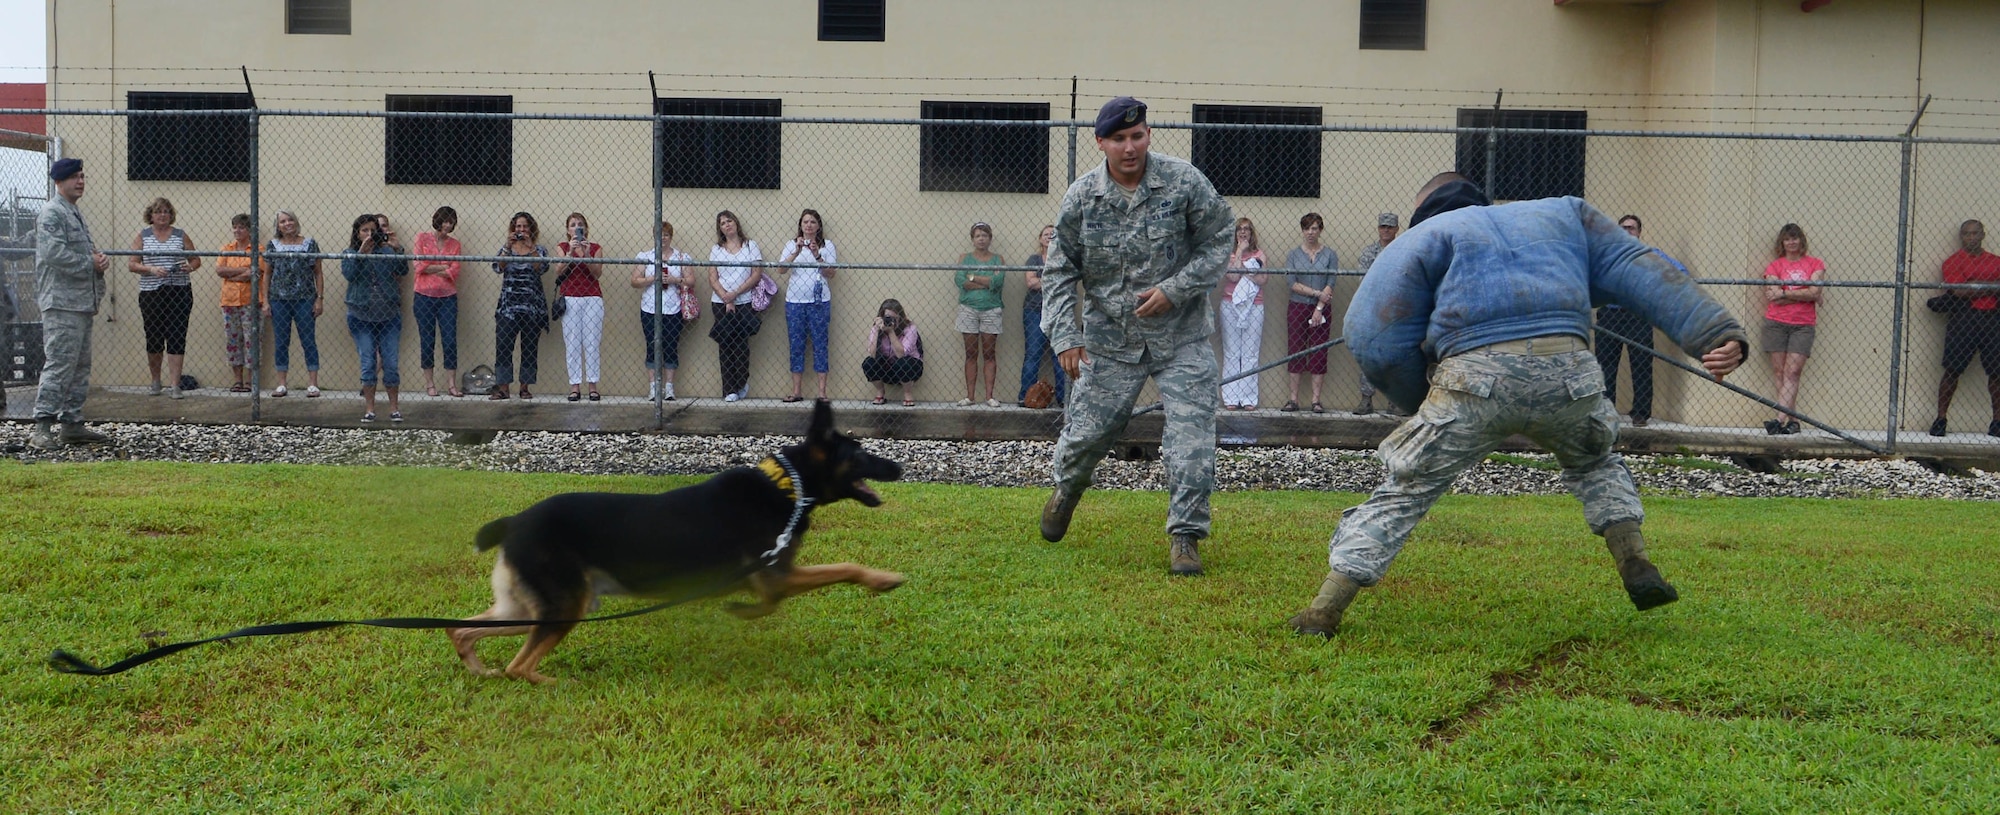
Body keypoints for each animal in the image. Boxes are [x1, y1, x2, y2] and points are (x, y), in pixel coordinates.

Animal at [452, 399, 908, 683]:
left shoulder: (772, 576)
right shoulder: (778, 575)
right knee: (518, 666)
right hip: (563, 607)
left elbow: (770, 601)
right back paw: (551, 682)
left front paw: (743, 610)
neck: (787, 487)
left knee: (461, 631)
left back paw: (479, 671)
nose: (900, 467)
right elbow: (840, 569)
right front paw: (882, 580)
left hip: (531, 607)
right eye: (860, 453)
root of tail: (514, 522)